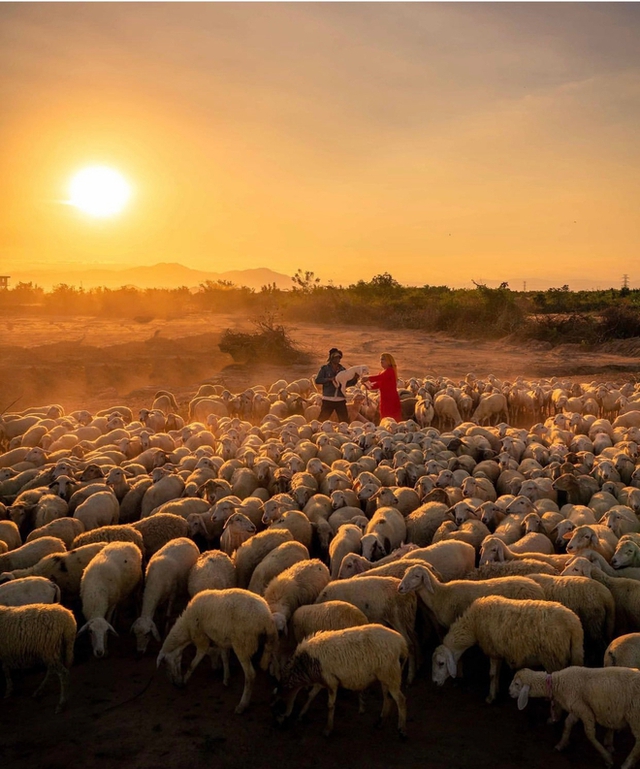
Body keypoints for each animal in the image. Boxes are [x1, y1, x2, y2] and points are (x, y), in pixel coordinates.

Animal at [274, 624, 404, 736]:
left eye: (279, 706)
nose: (279, 726)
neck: (304, 665)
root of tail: (401, 642)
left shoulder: (331, 682)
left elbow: (330, 705)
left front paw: (327, 729)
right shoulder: (322, 680)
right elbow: (311, 695)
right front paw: (301, 714)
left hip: (391, 674)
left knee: (400, 699)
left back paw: (402, 730)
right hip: (385, 676)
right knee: (387, 698)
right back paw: (381, 722)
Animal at [398, 560, 544, 632]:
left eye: (417, 576)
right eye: (405, 573)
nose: (400, 588)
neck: (441, 594)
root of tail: (537, 588)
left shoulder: (452, 621)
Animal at [430, 592, 584, 704]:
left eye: (441, 663)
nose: (435, 682)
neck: (473, 624)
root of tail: (574, 624)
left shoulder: (492, 650)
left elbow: (492, 674)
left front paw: (490, 697)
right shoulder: (498, 651)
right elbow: (497, 673)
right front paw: (497, 690)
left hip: (553, 656)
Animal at [512, 664, 640, 768]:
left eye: (517, 683)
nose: (509, 692)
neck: (556, 683)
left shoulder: (584, 710)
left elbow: (589, 734)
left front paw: (607, 758)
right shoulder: (576, 708)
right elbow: (567, 724)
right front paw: (561, 744)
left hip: (634, 715)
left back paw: (627, 763)